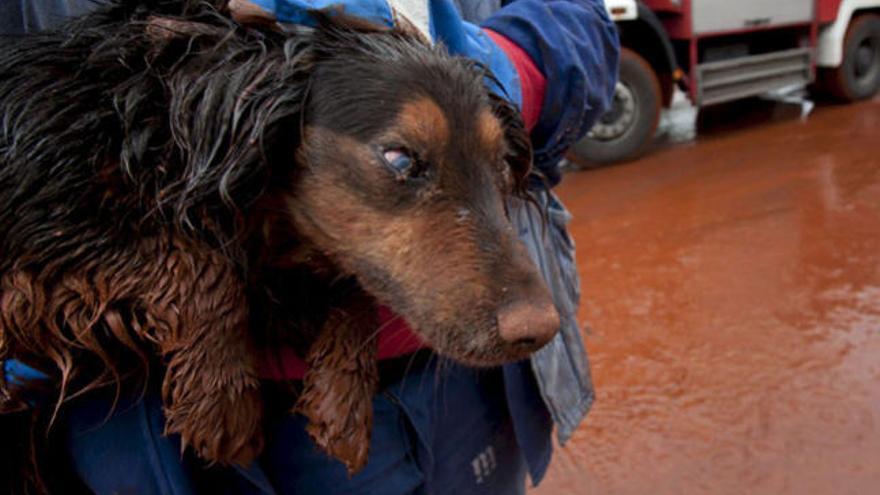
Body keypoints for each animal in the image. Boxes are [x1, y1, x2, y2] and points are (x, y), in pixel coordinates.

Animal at [0, 0, 560, 488]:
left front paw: (342, 400)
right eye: (400, 159)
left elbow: (352, 283)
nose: (540, 331)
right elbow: (202, 265)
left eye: (500, 164)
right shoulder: (40, 221)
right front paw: (221, 399)